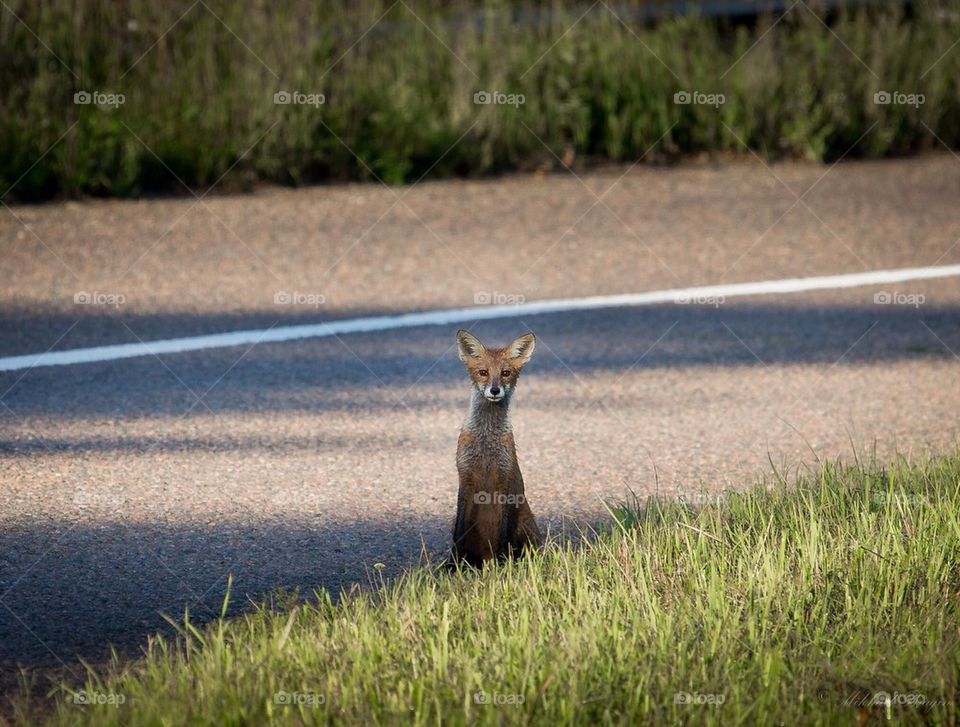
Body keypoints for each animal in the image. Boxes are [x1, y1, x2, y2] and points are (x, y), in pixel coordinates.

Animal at [451, 329, 542, 566]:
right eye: (483, 372)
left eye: (505, 373)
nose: (494, 390)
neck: (486, 439)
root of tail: (486, 556)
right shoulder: (465, 476)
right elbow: (459, 534)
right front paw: (453, 564)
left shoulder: (505, 478)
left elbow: (503, 533)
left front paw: (503, 563)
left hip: (526, 525)